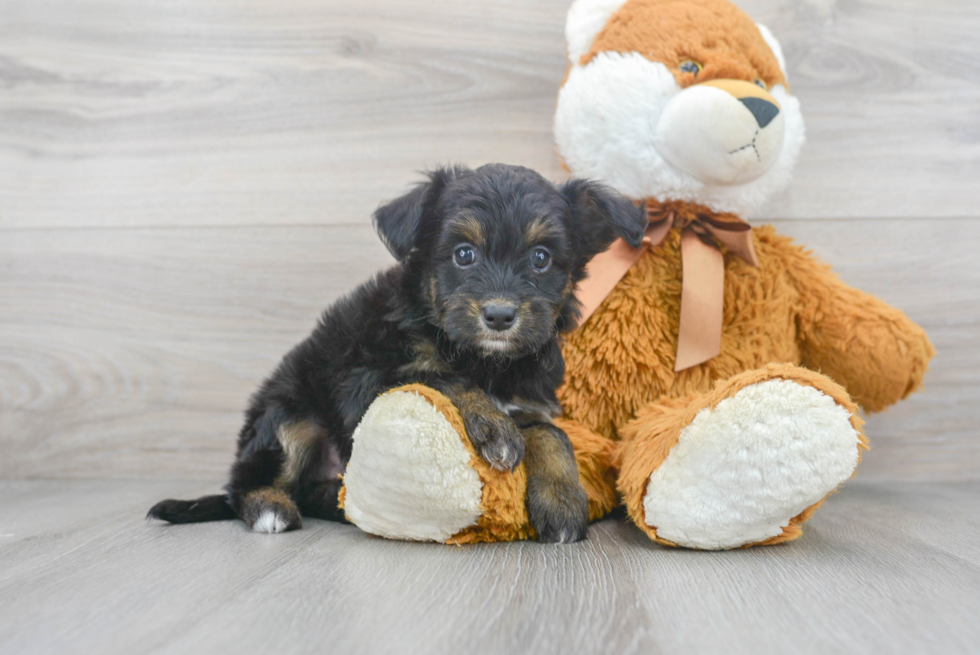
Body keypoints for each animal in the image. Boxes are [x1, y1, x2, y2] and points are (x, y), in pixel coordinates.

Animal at [149, 163, 648, 544]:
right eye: (463, 254)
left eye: (541, 258)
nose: (500, 315)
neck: (482, 359)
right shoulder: (368, 378)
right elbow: (442, 378)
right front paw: (493, 428)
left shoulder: (529, 401)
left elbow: (552, 434)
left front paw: (563, 500)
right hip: (288, 417)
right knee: (247, 482)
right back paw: (270, 507)